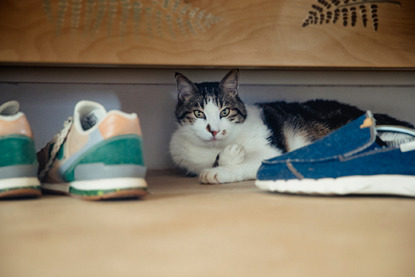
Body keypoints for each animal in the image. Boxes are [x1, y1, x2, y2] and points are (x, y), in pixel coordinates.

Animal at [170, 68, 415, 183]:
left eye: (225, 112)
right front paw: (225, 158)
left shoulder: (272, 153)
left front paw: (218, 170)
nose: (214, 130)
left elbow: (241, 164)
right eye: (199, 113)